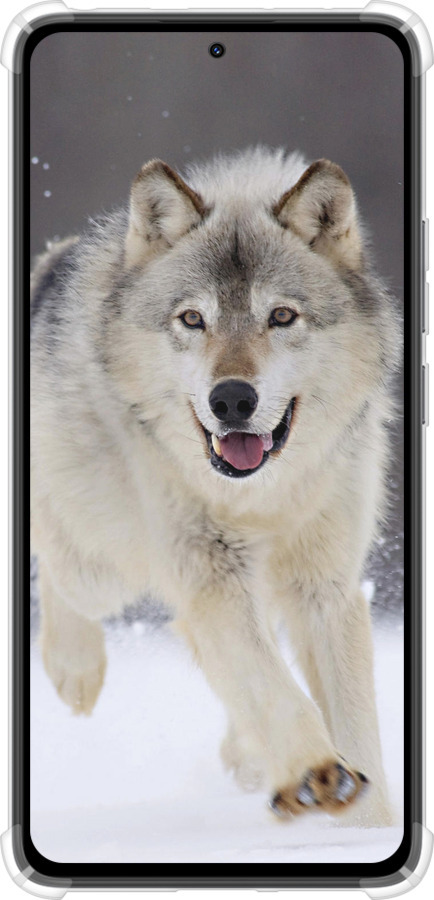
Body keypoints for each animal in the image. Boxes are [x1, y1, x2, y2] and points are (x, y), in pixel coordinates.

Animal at [31, 147, 400, 826]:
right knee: (60, 568)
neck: (261, 498)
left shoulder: (324, 586)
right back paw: (75, 669)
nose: (231, 399)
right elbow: (272, 686)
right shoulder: (210, 573)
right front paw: (315, 773)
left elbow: (354, 724)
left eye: (280, 316)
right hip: (104, 568)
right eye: (192, 319)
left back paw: (249, 757)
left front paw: (368, 826)